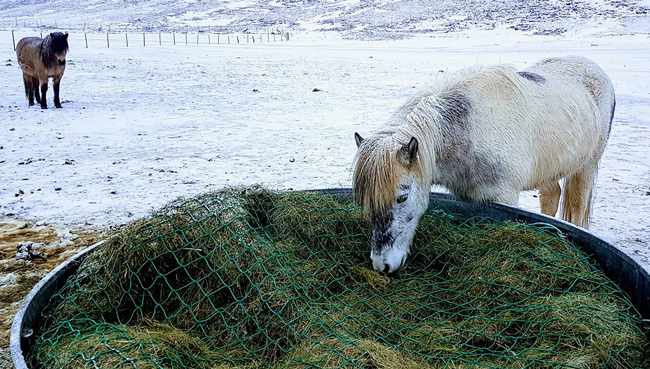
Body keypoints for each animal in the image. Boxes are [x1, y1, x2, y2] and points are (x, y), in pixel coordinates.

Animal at [354, 55, 612, 274]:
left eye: (402, 198)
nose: (382, 265)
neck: (468, 130)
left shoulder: (505, 196)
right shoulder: (466, 195)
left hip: (587, 167)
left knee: (577, 207)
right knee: (551, 196)